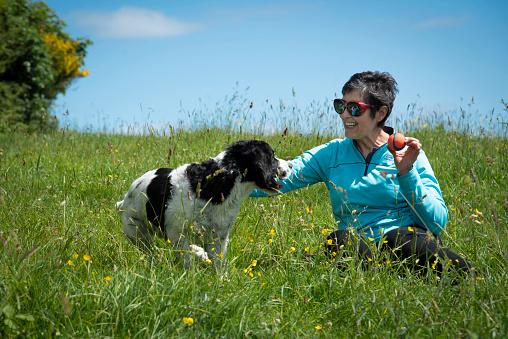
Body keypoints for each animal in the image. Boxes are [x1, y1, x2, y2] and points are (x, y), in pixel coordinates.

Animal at [115, 140, 290, 270]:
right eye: (272, 156)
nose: (290, 166)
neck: (219, 181)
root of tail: (124, 199)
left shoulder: (218, 238)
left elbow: (219, 265)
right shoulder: (178, 234)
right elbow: (187, 261)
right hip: (137, 232)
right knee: (149, 251)